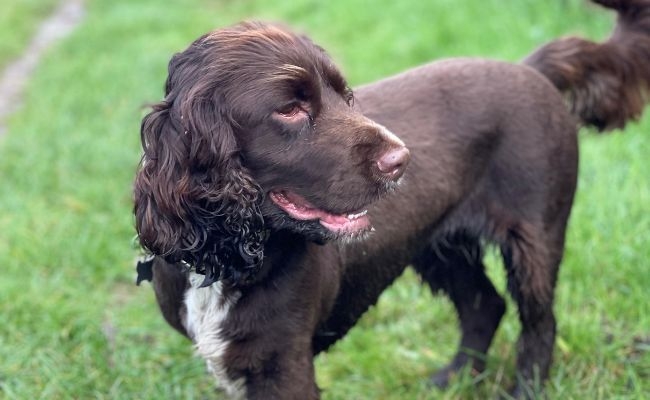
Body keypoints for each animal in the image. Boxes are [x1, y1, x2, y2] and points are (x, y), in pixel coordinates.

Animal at [133, 1, 648, 398]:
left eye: (345, 96)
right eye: (290, 109)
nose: (401, 160)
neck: (223, 258)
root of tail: (529, 67)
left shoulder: (284, 362)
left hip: (536, 237)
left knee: (539, 325)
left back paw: (524, 390)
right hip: (440, 244)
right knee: (484, 304)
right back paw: (454, 379)